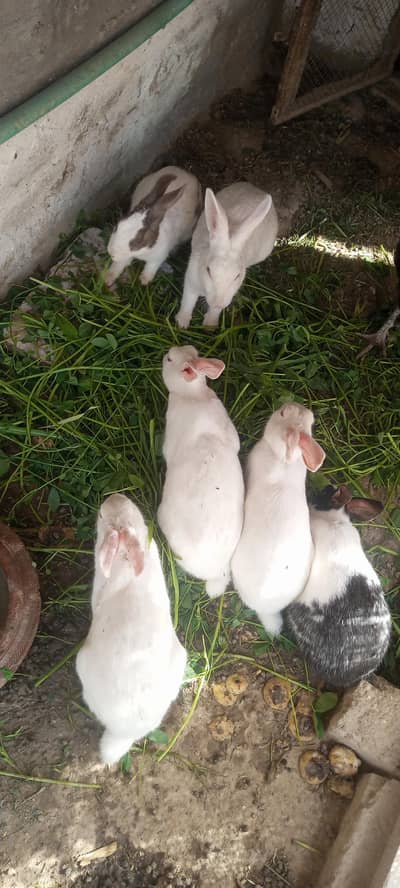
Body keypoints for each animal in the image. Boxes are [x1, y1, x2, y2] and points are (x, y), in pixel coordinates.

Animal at [175, 182, 278, 329]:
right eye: (208, 270)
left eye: (237, 276)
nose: (218, 302)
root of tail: (255, 189)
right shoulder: (190, 282)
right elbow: (187, 303)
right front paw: (181, 323)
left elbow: (214, 311)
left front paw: (210, 325)